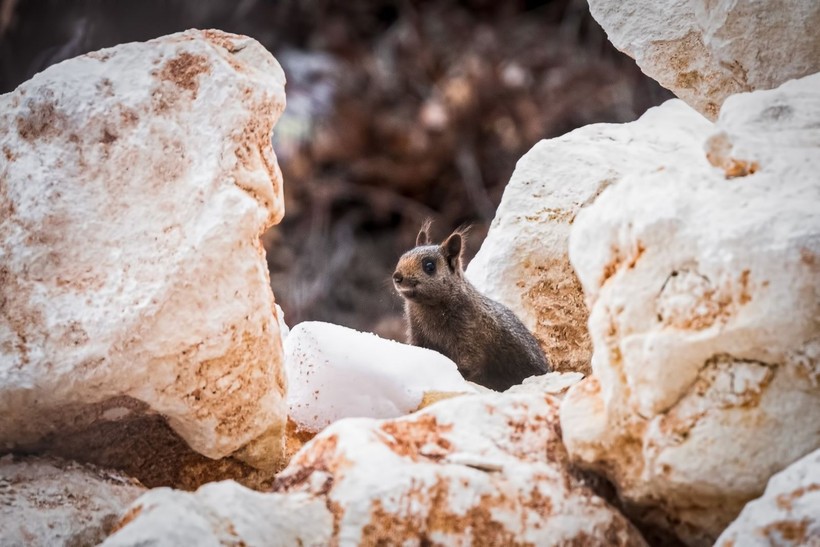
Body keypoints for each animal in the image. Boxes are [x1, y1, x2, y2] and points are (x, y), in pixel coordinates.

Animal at [392, 220, 552, 392]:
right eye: (402, 257)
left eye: (429, 266)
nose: (397, 276)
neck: (427, 307)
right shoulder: (418, 336)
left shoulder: (469, 339)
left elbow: (468, 366)